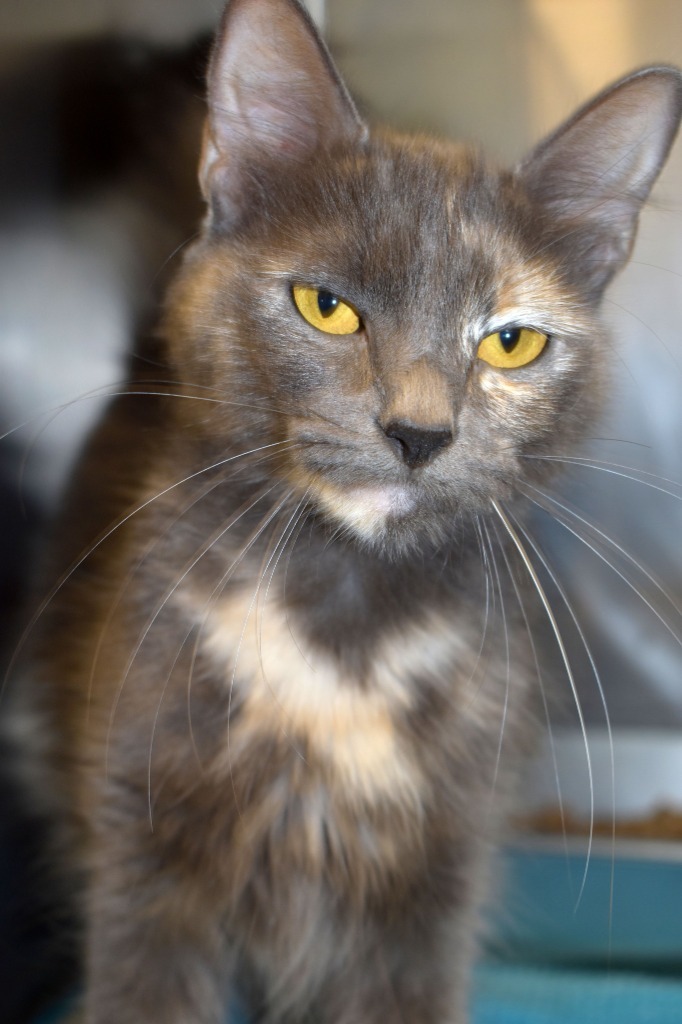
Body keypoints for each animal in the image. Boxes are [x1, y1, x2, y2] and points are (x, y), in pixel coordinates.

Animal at [9, 0, 679, 1019]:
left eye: (512, 343)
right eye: (326, 306)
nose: (419, 432)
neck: (339, 624)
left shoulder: (435, 873)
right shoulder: (140, 837)